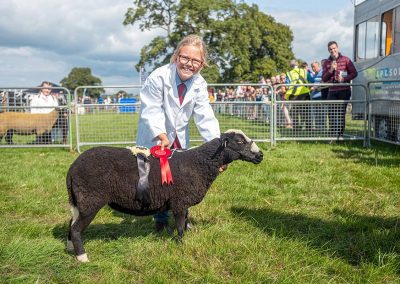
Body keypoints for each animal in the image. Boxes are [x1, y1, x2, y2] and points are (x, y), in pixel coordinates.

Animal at [67, 129, 264, 262]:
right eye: (239, 141)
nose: (260, 155)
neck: (200, 162)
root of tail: (72, 168)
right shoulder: (179, 201)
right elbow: (180, 226)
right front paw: (181, 246)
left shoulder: (183, 202)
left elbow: (185, 221)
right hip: (90, 200)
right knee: (76, 228)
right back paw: (82, 257)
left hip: (78, 202)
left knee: (71, 223)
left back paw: (70, 248)